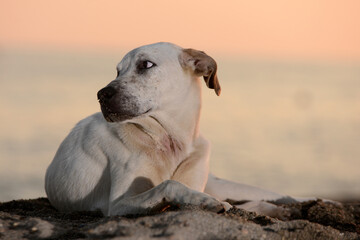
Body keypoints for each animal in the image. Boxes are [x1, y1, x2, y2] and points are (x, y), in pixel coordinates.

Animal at [44, 42, 318, 217]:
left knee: (273, 195)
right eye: (118, 71)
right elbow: (170, 185)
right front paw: (204, 201)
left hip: (223, 184)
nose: (102, 95)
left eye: (146, 65)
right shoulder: (118, 204)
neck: (170, 139)